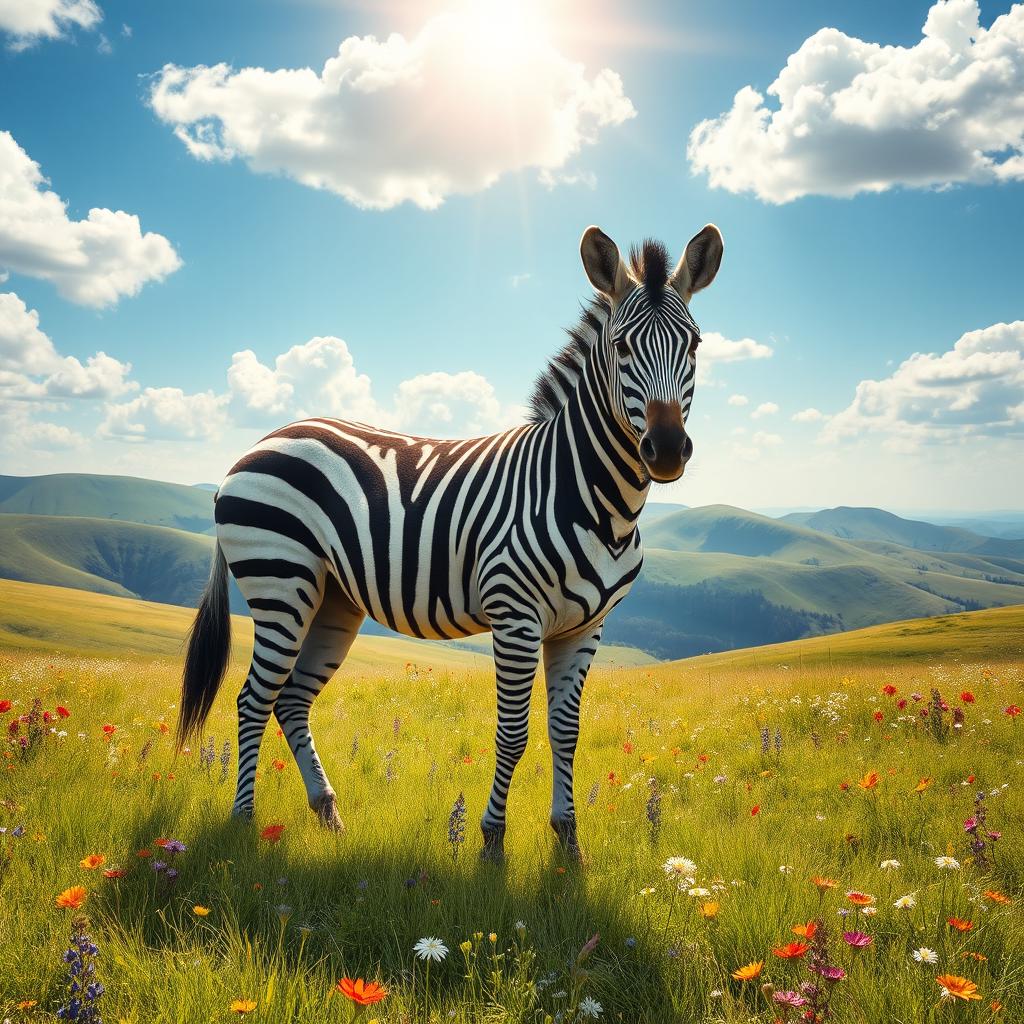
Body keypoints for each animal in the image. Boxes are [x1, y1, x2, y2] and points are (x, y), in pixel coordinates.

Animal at [179, 223, 723, 861]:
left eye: (695, 346)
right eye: (621, 348)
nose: (666, 450)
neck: (590, 495)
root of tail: (263, 441)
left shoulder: (585, 626)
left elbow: (566, 732)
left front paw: (568, 844)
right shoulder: (515, 615)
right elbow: (513, 733)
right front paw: (491, 842)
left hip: (333, 598)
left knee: (290, 700)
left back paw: (328, 815)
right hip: (280, 582)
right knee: (252, 699)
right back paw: (243, 821)